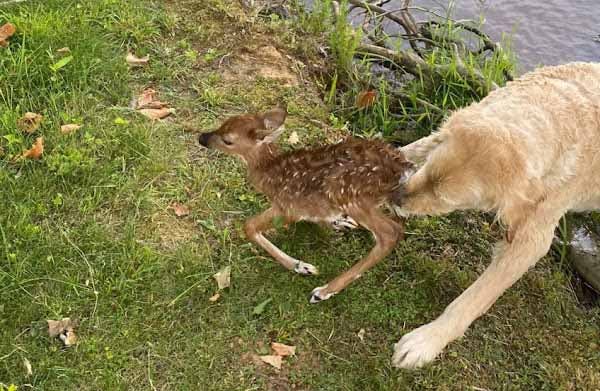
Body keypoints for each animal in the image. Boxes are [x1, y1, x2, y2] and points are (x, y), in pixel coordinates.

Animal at [199, 107, 414, 304]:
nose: (202, 138)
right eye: (223, 123)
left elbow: (248, 226)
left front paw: (300, 266)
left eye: (228, 140)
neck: (268, 173)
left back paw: (324, 291)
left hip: (349, 194)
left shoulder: (287, 206)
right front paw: (339, 222)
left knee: (391, 233)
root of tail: (401, 168)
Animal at [392, 62, 600, 370]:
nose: (396, 197)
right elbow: (405, 151)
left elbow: (474, 299)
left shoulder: (530, 240)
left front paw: (426, 341)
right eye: (428, 169)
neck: (558, 113)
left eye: (444, 200)